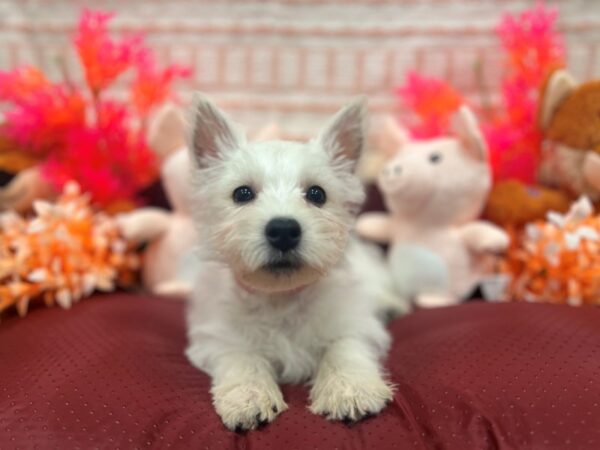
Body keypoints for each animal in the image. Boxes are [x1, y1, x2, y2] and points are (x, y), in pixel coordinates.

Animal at [185, 96, 396, 432]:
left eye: (317, 194)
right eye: (242, 193)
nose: (283, 230)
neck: (281, 298)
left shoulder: (356, 323)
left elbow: (344, 348)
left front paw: (351, 390)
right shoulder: (218, 336)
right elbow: (243, 358)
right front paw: (248, 397)